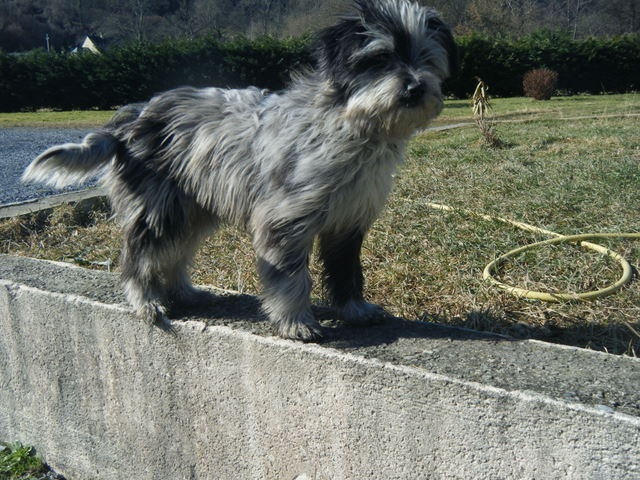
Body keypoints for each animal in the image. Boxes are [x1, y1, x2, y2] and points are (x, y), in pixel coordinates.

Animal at [23, 0, 457, 341]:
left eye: (425, 57)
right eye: (380, 59)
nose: (415, 88)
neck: (348, 123)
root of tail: (132, 116)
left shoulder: (348, 220)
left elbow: (346, 271)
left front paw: (356, 310)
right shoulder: (284, 219)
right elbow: (290, 277)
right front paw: (295, 321)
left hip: (192, 208)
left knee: (175, 253)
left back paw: (185, 293)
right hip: (158, 207)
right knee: (138, 257)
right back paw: (147, 302)